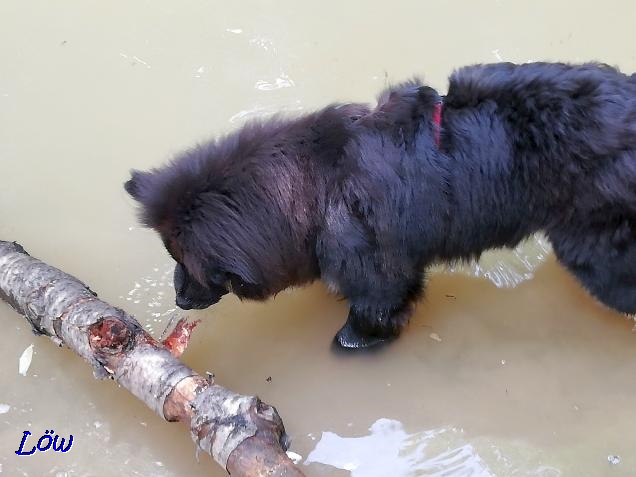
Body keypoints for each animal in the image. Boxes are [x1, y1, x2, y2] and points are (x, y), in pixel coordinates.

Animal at [125, 61, 636, 348]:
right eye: (172, 255)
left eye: (186, 261)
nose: (178, 296)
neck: (315, 185)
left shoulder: (380, 271)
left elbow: (374, 312)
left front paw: (352, 341)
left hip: (597, 253)